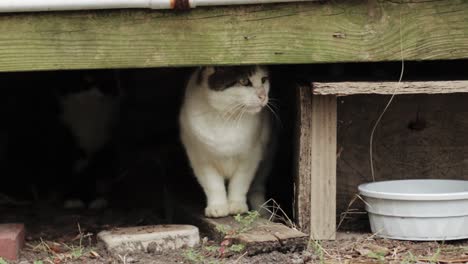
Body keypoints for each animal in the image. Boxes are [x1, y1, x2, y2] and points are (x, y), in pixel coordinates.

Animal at [178, 65, 274, 217]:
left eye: (263, 80)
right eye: (244, 81)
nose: (263, 96)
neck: (226, 117)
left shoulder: (250, 158)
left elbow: (239, 183)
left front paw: (237, 205)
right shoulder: (200, 159)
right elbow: (213, 185)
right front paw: (217, 207)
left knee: (257, 188)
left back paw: (262, 211)